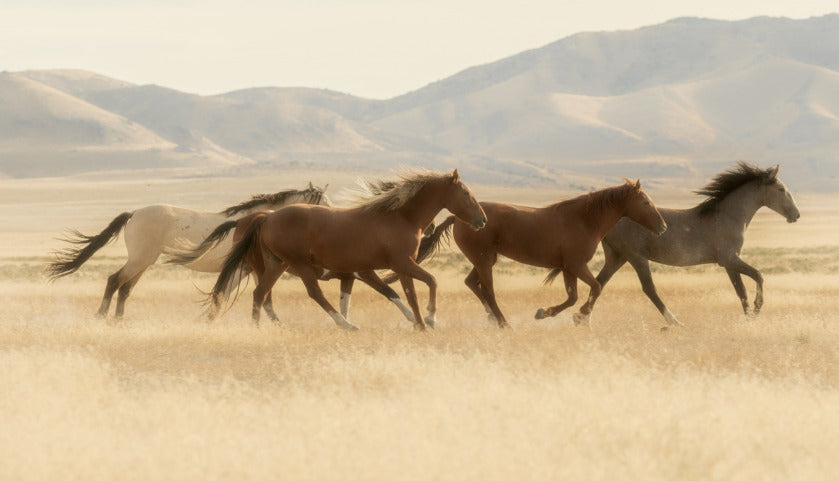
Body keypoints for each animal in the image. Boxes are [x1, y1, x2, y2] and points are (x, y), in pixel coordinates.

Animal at [46, 183, 330, 319]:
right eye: (323, 204)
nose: (330, 223)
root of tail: (134, 213)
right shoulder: (243, 269)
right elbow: (226, 295)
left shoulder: (248, 270)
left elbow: (235, 295)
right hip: (139, 260)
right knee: (114, 280)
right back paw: (102, 316)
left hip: (143, 262)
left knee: (125, 288)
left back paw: (117, 320)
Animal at [206, 169, 487, 330]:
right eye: (465, 193)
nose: (482, 220)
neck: (400, 217)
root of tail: (267, 217)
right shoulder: (401, 264)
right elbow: (428, 283)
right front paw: (428, 320)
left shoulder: (384, 269)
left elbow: (403, 294)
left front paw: (418, 323)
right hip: (299, 265)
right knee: (313, 293)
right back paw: (344, 325)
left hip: (276, 264)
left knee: (260, 294)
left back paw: (257, 328)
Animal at [412, 179, 666, 328]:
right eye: (645, 202)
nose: (663, 227)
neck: (584, 220)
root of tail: (460, 218)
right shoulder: (576, 265)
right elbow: (595, 288)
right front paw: (578, 316)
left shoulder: (568, 268)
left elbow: (573, 297)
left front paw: (545, 313)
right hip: (484, 260)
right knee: (488, 290)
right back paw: (503, 323)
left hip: (485, 259)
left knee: (472, 283)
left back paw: (492, 318)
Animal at [574, 162, 800, 327]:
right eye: (781, 189)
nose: (796, 215)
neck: (729, 216)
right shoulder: (730, 259)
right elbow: (758, 276)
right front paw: (756, 310)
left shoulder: (729, 263)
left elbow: (741, 291)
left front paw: (749, 318)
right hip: (636, 257)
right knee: (649, 289)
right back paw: (674, 322)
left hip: (617, 257)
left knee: (599, 283)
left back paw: (581, 319)